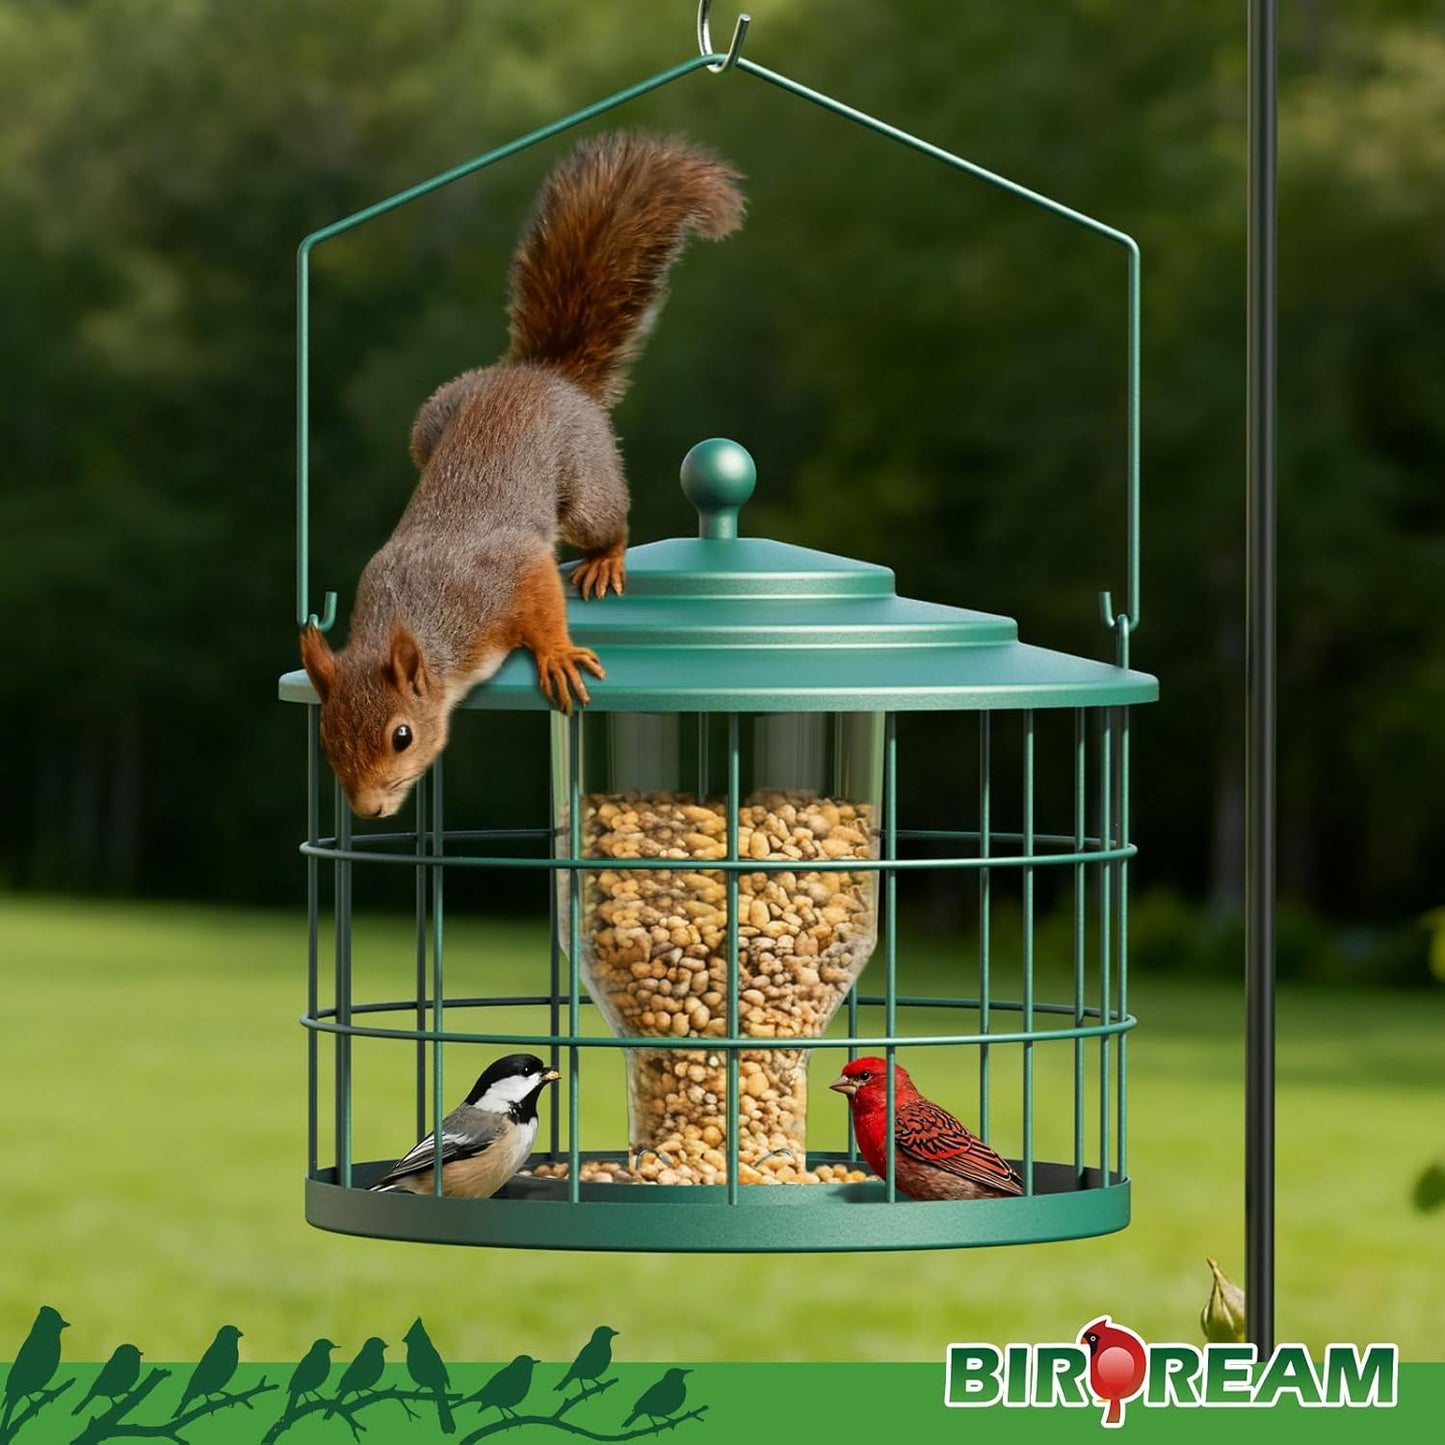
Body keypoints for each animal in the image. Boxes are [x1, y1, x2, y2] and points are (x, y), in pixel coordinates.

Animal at [299, 132, 745, 818]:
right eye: (325, 740)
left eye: (402, 735)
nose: (367, 810)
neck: (423, 622)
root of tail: (544, 373)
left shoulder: (503, 578)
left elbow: (539, 590)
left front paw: (556, 654)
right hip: (428, 423)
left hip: (586, 480)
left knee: (608, 520)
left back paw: (605, 560)